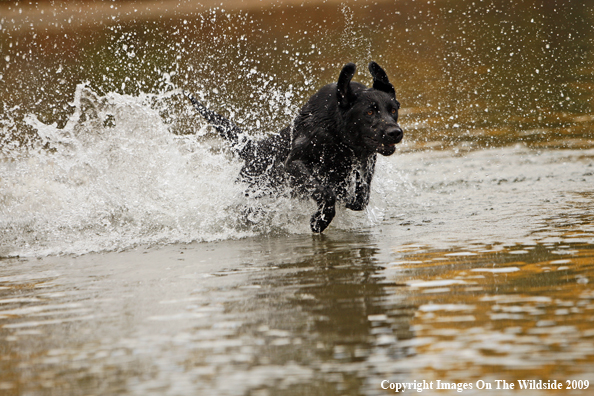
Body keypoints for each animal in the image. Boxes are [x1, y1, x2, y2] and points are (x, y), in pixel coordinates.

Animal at [185, 61, 402, 232]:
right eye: (369, 112)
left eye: (393, 110)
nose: (395, 132)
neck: (337, 135)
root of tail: (255, 149)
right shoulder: (294, 164)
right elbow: (325, 193)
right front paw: (320, 221)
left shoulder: (364, 166)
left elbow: (359, 199)